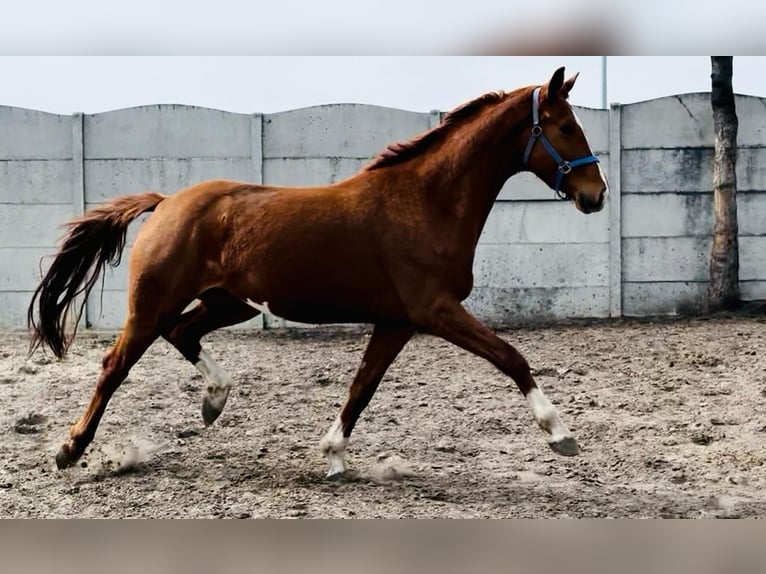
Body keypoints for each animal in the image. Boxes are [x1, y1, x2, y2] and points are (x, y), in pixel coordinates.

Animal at [27, 66, 608, 476]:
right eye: (564, 126)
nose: (595, 195)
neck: (426, 202)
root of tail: (168, 202)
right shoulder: (436, 310)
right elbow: (511, 357)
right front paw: (560, 435)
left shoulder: (398, 321)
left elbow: (362, 387)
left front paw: (333, 454)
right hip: (152, 304)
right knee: (115, 366)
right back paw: (70, 450)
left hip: (227, 302)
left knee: (183, 332)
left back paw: (215, 400)